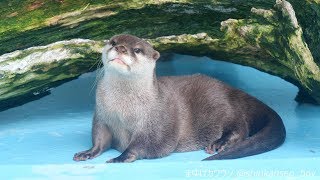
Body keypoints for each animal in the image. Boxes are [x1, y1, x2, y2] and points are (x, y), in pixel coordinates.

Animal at [72, 34, 284, 162]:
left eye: (138, 50)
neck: (123, 110)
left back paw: (219, 144)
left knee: (240, 128)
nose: (122, 48)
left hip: (223, 105)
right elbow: (100, 139)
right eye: (114, 42)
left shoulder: (156, 122)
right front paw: (87, 153)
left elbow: (146, 144)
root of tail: (231, 89)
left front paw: (121, 157)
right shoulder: (102, 117)